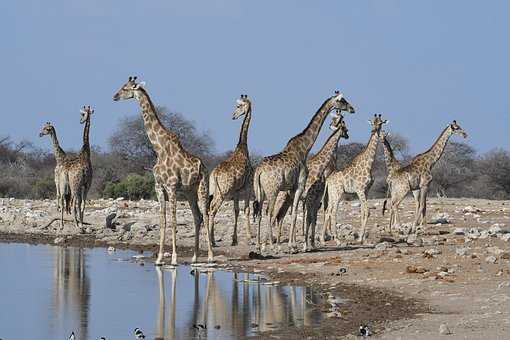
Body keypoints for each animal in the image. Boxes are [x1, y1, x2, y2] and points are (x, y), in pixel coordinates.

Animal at [113, 77, 213, 266]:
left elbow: (173, 221)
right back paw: (195, 256)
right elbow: (163, 220)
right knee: (197, 217)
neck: (159, 149)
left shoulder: (171, 187)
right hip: (189, 191)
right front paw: (159, 258)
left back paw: (210, 256)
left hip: (202, 187)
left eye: (125, 88)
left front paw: (173, 258)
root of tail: (204, 166)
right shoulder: (159, 187)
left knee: (206, 214)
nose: (114, 96)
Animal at [209, 94, 253, 246]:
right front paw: (250, 238)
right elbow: (246, 210)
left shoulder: (236, 191)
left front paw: (234, 239)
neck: (243, 147)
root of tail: (215, 174)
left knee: (209, 208)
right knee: (212, 209)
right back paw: (211, 241)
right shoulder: (248, 186)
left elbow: (236, 210)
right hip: (223, 191)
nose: (233, 116)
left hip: (215, 190)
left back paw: (213, 239)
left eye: (239, 106)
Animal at [274, 114, 350, 250]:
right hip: (281, 198)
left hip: (288, 200)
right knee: (274, 215)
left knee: (281, 217)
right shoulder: (310, 198)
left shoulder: (315, 199)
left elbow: (313, 219)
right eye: (345, 128)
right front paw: (306, 245)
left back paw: (279, 244)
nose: (348, 135)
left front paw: (312, 244)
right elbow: (309, 218)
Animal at [322, 114, 386, 244]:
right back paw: (337, 240)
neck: (369, 164)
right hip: (338, 192)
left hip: (332, 193)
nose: (373, 130)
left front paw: (362, 237)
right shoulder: (360, 190)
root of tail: (328, 179)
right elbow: (367, 212)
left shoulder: (366, 191)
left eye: (380, 123)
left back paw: (322, 239)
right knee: (333, 212)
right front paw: (361, 239)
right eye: (372, 123)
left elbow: (363, 212)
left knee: (327, 211)